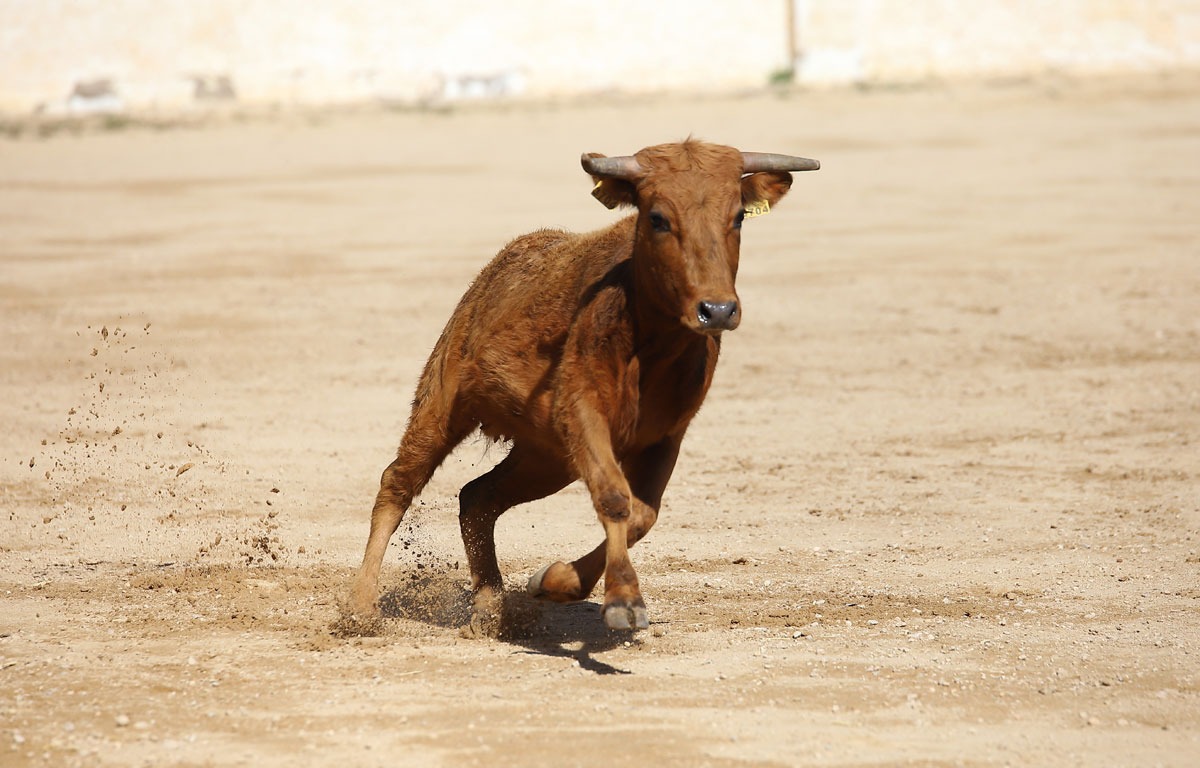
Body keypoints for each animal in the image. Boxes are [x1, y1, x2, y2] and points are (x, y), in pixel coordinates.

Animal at [344, 139, 819, 633]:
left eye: (739, 216)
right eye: (657, 218)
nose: (718, 310)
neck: (651, 346)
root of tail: (500, 265)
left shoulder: (666, 435)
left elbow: (643, 512)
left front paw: (557, 581)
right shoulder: (583, 413)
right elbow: (614, 498)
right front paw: (623, 600)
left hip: (548, 456)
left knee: (479, 497)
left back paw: (488, 609)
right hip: (443, 402)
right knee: (398, 482)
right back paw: (360, 606)